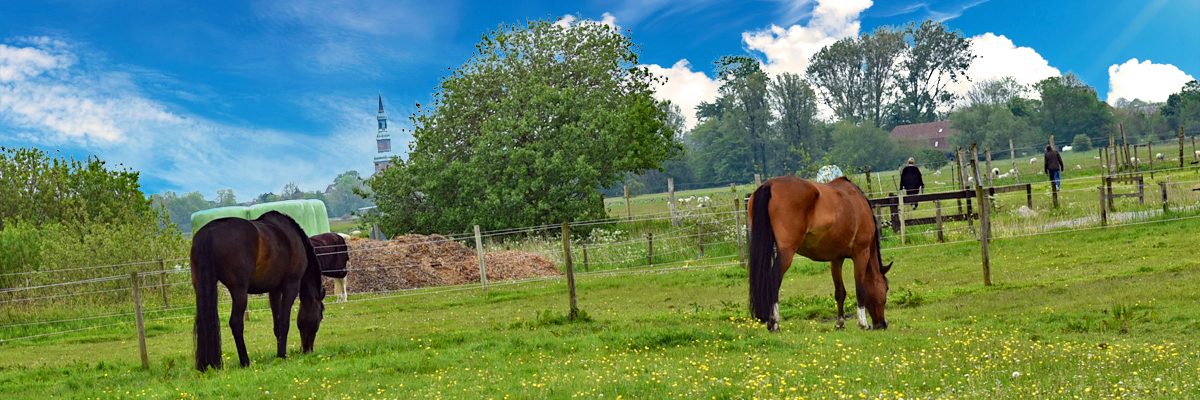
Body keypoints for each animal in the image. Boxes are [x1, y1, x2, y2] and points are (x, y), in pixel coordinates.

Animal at [189, 210, 326, 369]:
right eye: (320, 316)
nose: (308, 350)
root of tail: (209, 232)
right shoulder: (291, 285)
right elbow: (284, 323)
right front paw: (282, 355)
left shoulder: (274, 290)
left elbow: (277, 325)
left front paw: (279, 354)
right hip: (239, 291)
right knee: (236, 323)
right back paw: (245, 361)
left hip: (200, 287)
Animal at [748, 176, 892, 331]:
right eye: (886, 288)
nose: (883, 324)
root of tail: (769, 185)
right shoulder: (861, 253)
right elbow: (860, 289)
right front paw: (863, 323)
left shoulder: (836, 258)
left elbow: (840, 292)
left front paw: (840, 322)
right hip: (786, 253)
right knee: (773, 280)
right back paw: (774, 323)